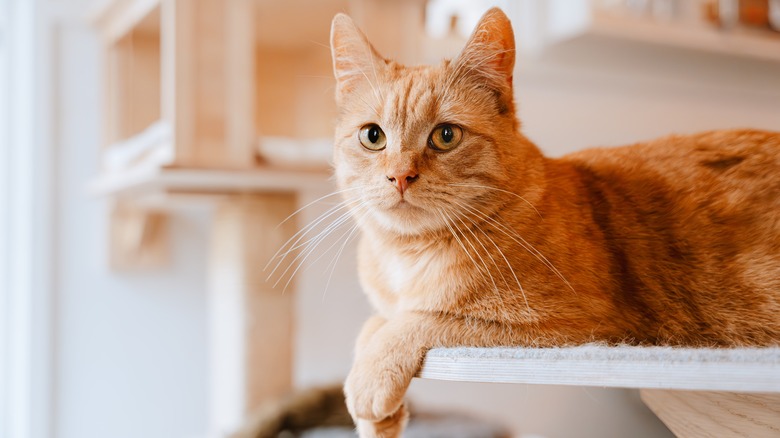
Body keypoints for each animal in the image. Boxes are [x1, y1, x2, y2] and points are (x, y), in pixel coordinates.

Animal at [328, 6, 780, 438]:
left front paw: (370, 381)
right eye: (373, 136)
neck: (407, 256)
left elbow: (421, 319)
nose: (400, 176)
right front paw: (374, 414)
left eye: (445, 136)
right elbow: (374, 323)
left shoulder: (571, 327)